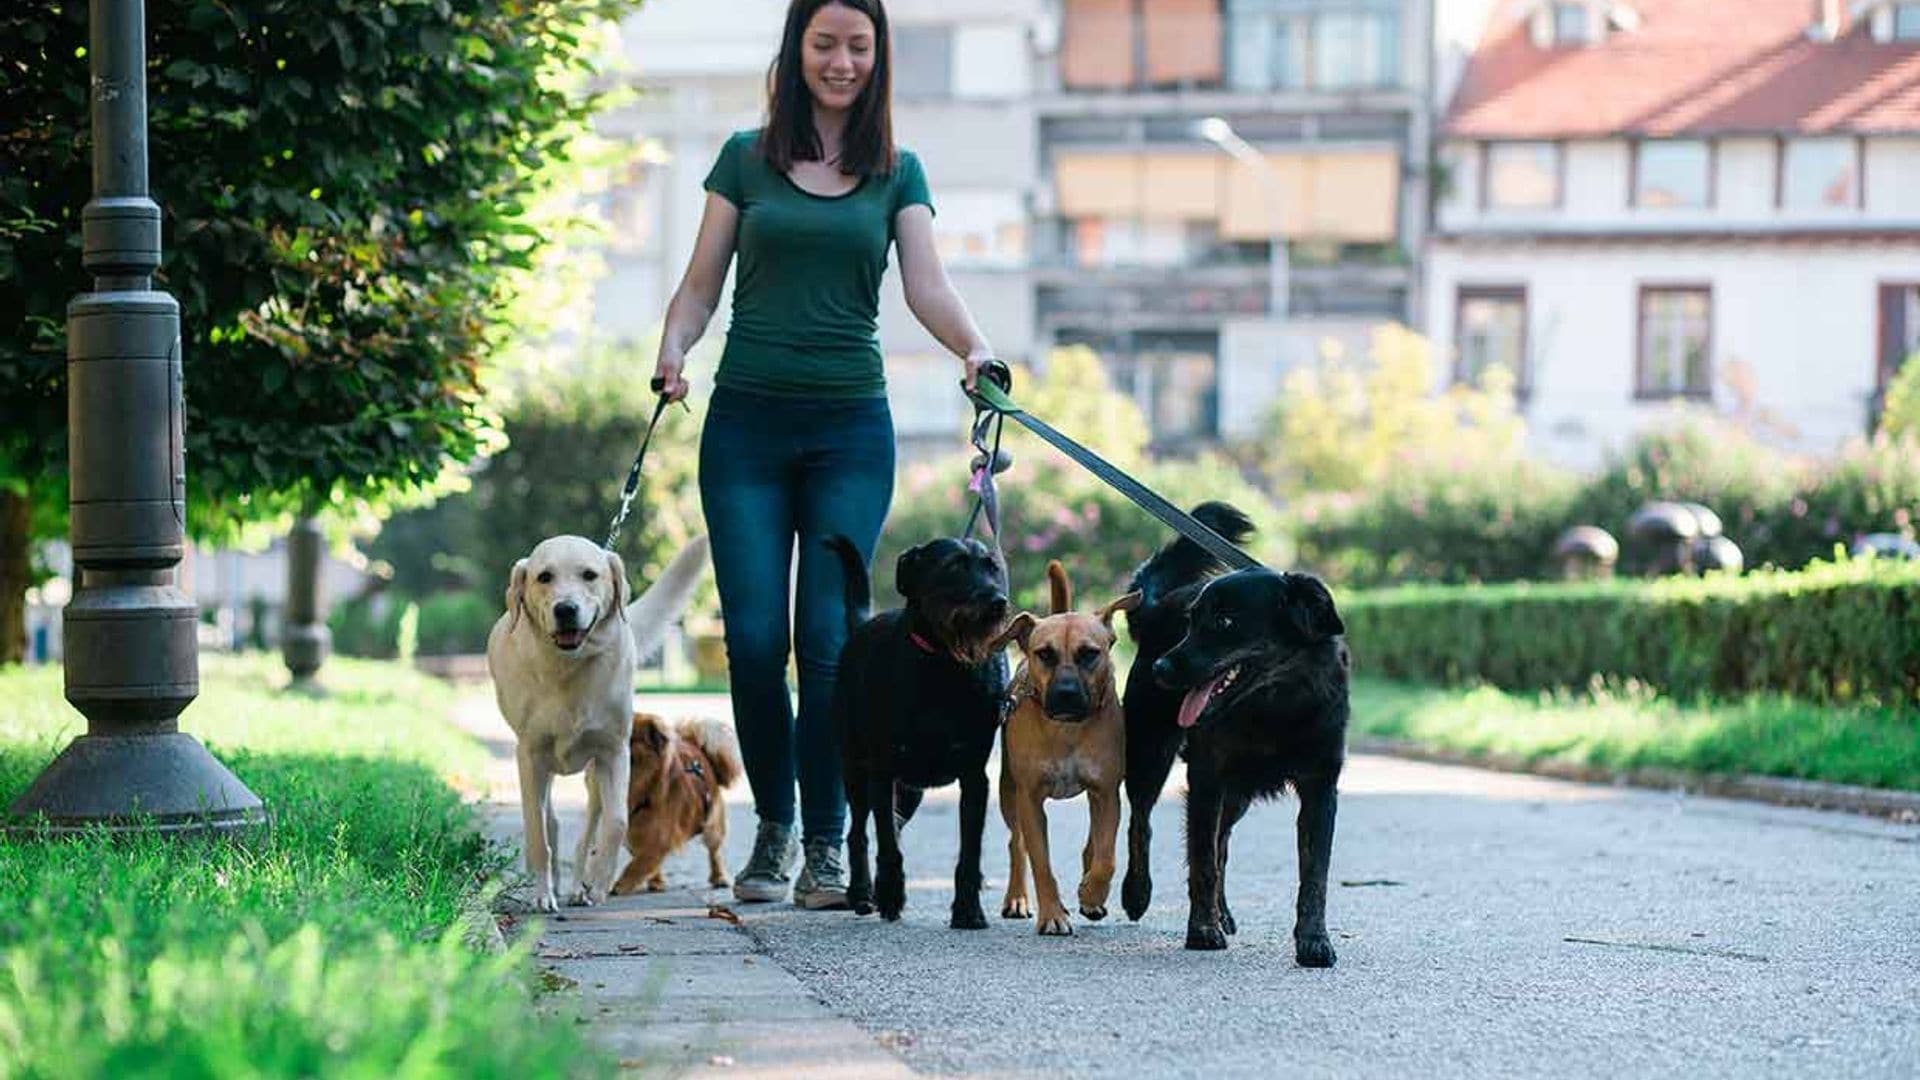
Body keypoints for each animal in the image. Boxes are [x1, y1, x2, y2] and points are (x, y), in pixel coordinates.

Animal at [614, 707, 741, 891]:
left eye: (629, 736)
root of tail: (696, 746)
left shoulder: (660, 835)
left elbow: (638, 864)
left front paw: (620, 885)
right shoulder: (634, 832)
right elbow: (644, 860)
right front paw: (652, 879)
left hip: (713, 827)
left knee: (715, 852)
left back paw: (719, 877)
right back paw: (657, 882)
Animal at [829, 530, 1021, 926]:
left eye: (992, 567)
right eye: (954, 567)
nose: (998, 603)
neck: (944, 666)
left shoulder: (974, 778)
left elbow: (969, 851)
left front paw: (968, 910)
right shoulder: (882, 772)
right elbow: (886, 845)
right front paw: (889, 896)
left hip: (909, 791)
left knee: (893, 824)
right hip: (855, 770)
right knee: (859, 832)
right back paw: (862, 892)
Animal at [990, 557, 1136, 930]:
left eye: (1089, 654)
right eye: (1045, 654)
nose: (1067, 693)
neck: (1067, 730)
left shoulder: (1106, 792)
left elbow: (1106, 856)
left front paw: (1092, 894)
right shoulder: (1029, 798)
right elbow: (1041, 862)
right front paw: (1053, 915)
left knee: (1092, 845)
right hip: (1009, 792)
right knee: (1016, 844)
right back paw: (1016, 898)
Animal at [1121, 499, 1251, 922]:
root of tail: (1159, 607)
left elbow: (1215, 849)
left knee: (1220, 843)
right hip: (1151, 751)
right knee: (1140, 820)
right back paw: (1136, 892)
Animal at [1152, 564, 1351, 957]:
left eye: (1225, 621)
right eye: (1190, 621)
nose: (1160, 667)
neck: (1275, 707)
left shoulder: (1321, 790)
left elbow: (1315, 874)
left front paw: (1314, 940)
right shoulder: (1206, 780)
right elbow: (1203, 862)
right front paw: (1202, 930)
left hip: (1237, 798)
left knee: (1223, 843)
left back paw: (1224, 913)